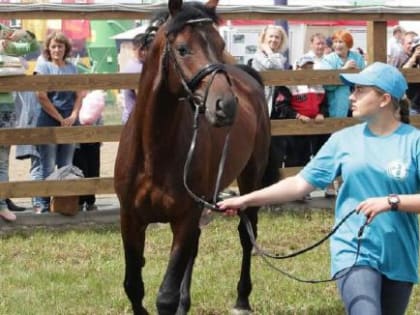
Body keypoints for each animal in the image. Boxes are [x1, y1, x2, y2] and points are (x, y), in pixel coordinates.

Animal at [113, 1, 280, 314]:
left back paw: (242, 299)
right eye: (182, 49)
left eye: (220, 44)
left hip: (250, 179)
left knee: (246, 234)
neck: (153, 152)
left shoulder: (184, 218)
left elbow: (165, 295)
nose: (226, 105)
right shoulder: (130, 218)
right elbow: (133, 287)